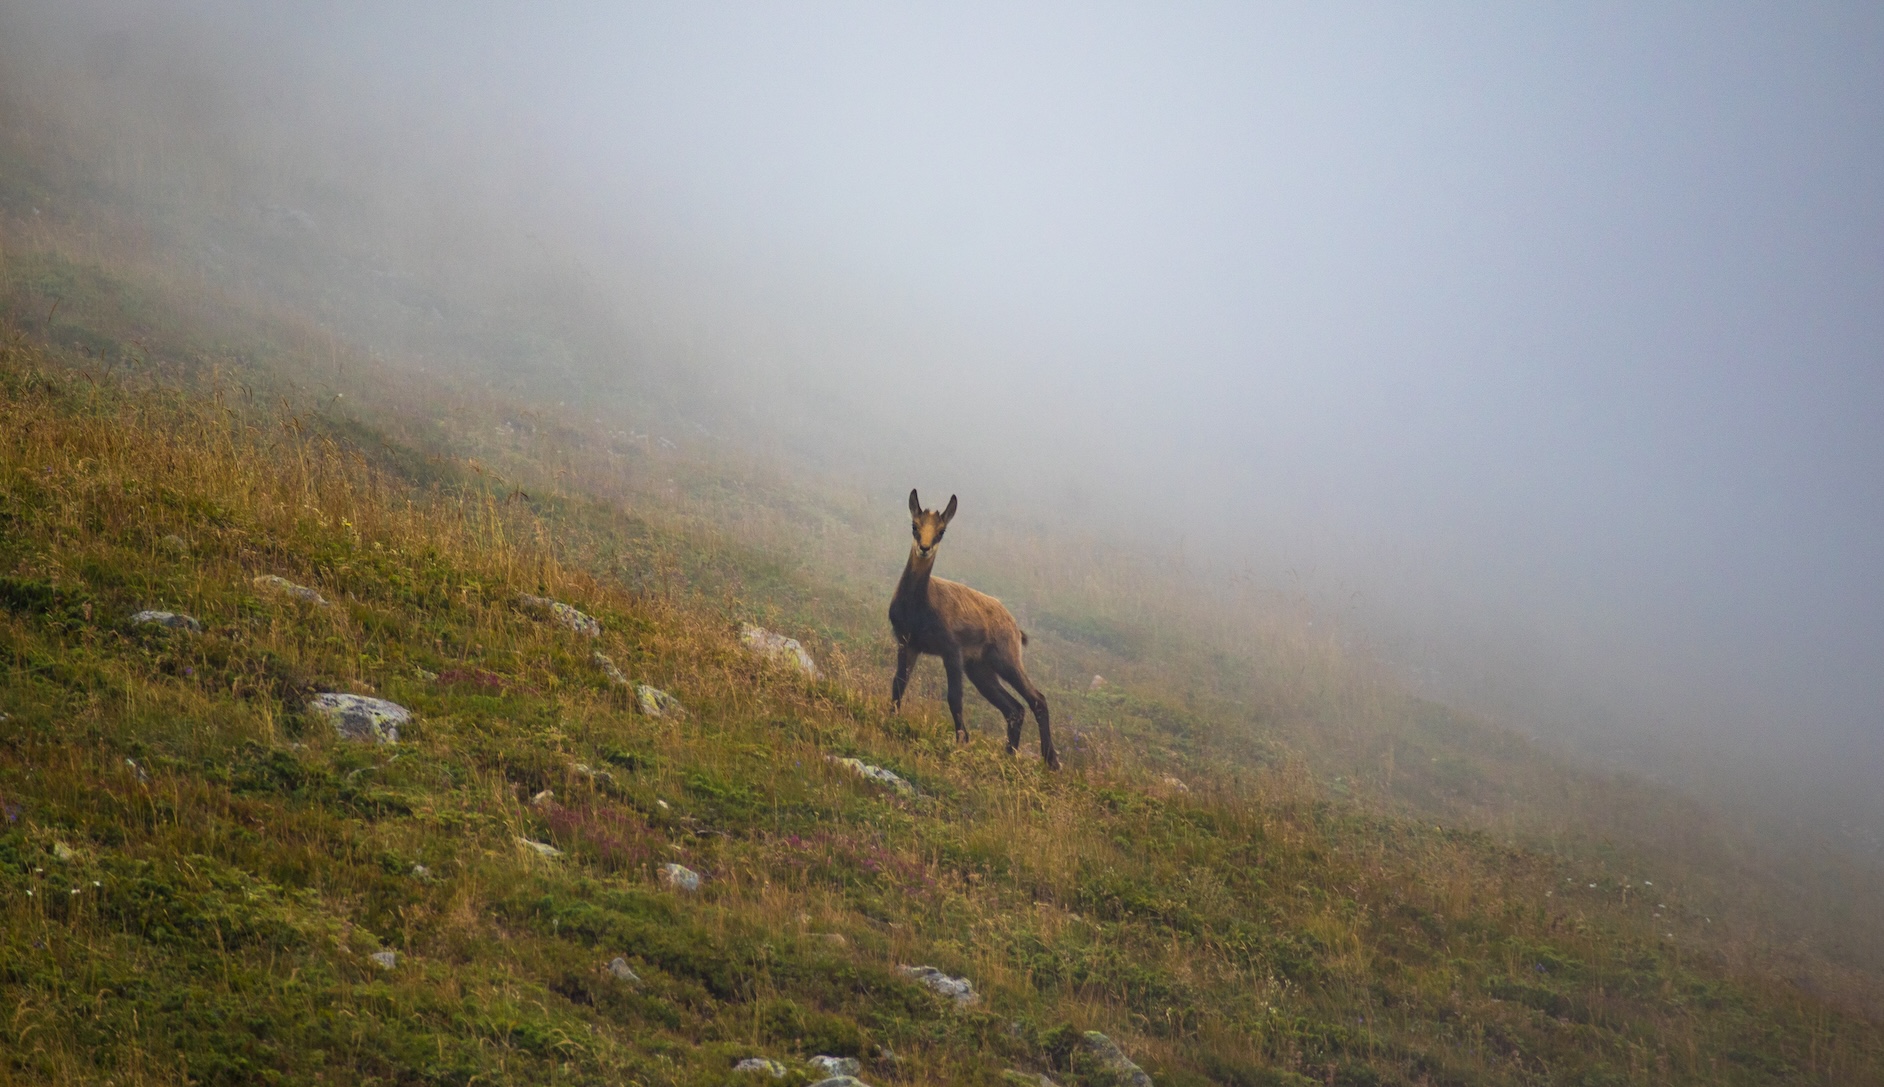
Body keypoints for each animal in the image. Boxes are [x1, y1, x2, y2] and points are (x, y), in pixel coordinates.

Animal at [889, 490, 1059, 769]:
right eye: (914, 525)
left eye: (941, 531)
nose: (924, 548)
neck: (920, 605)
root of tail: (1016, 628)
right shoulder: (908, 643)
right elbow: (898, 683)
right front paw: (890, 716)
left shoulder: (952, 651)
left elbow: (954, 697)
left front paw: (962, 740)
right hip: (980, 669)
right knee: (1014, 709)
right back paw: (1009, 754)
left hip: (1005, 659)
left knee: (1037, 699)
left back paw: (1051, 760)